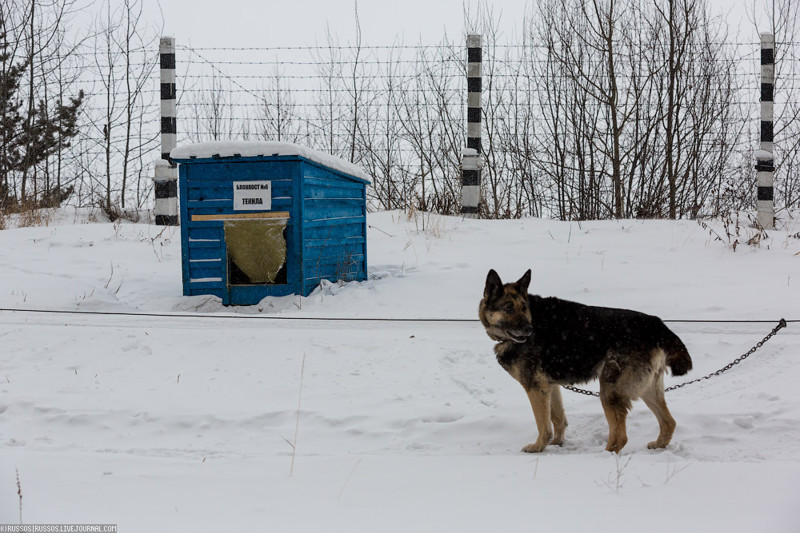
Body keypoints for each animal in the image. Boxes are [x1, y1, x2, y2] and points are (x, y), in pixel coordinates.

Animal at [478, 268, 692, 450]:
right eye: (507, 308)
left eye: (524, 308)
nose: (529, 329)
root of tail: (657, 325)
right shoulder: (550, 386)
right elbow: (557, 418)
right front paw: (557, 443)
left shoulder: (535, 388)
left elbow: (543, 425)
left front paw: (538, 447)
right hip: (645, 389)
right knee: (669, 422)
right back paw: (658, 445)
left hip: (610, 389)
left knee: (620, 436)